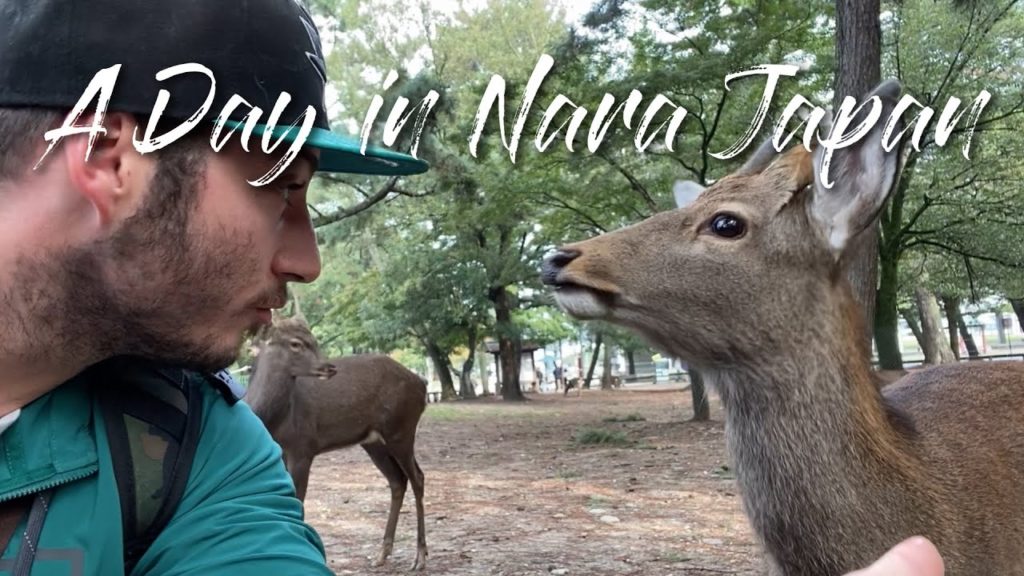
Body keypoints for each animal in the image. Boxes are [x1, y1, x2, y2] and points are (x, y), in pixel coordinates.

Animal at [246, 315, 429, 571]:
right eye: (295, 343)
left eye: (314, 339)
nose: (329, 367)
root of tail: (422, 384)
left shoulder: (303, 447)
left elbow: (298, 500)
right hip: (374, 441)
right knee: (397, 480)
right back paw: (382, 554)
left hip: (401, 429)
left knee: (417, 478)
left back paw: (420, 557)